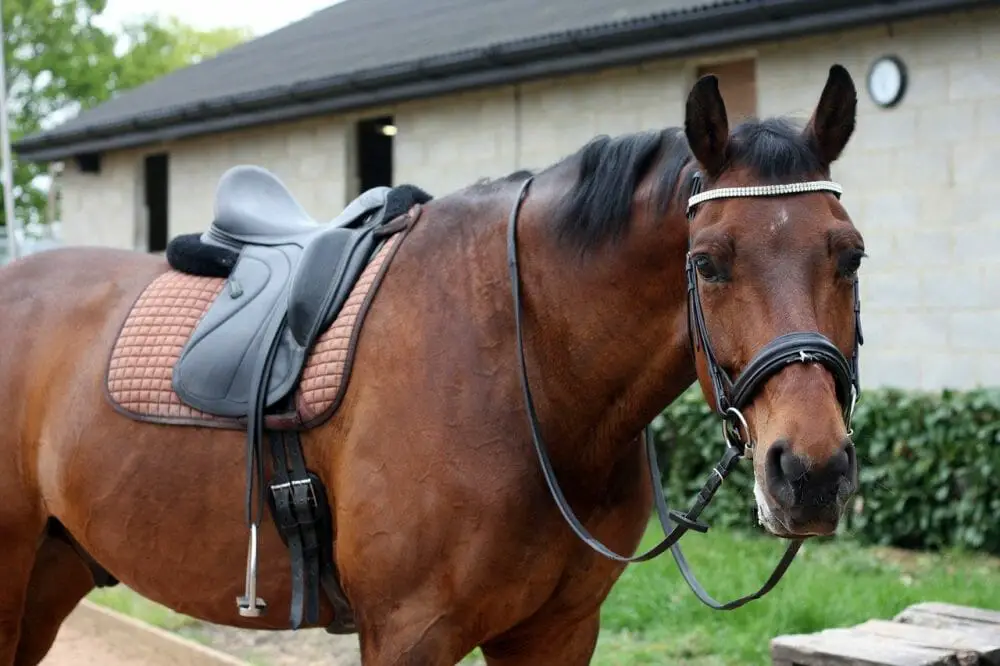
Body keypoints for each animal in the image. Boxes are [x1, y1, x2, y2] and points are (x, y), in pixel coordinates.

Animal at [0, 62, 865, 665]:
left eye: (849, 255)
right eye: (709, 263)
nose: (810, 470)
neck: (525, 375)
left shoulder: (558, 631)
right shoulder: (410, 633)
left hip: (52, 568)